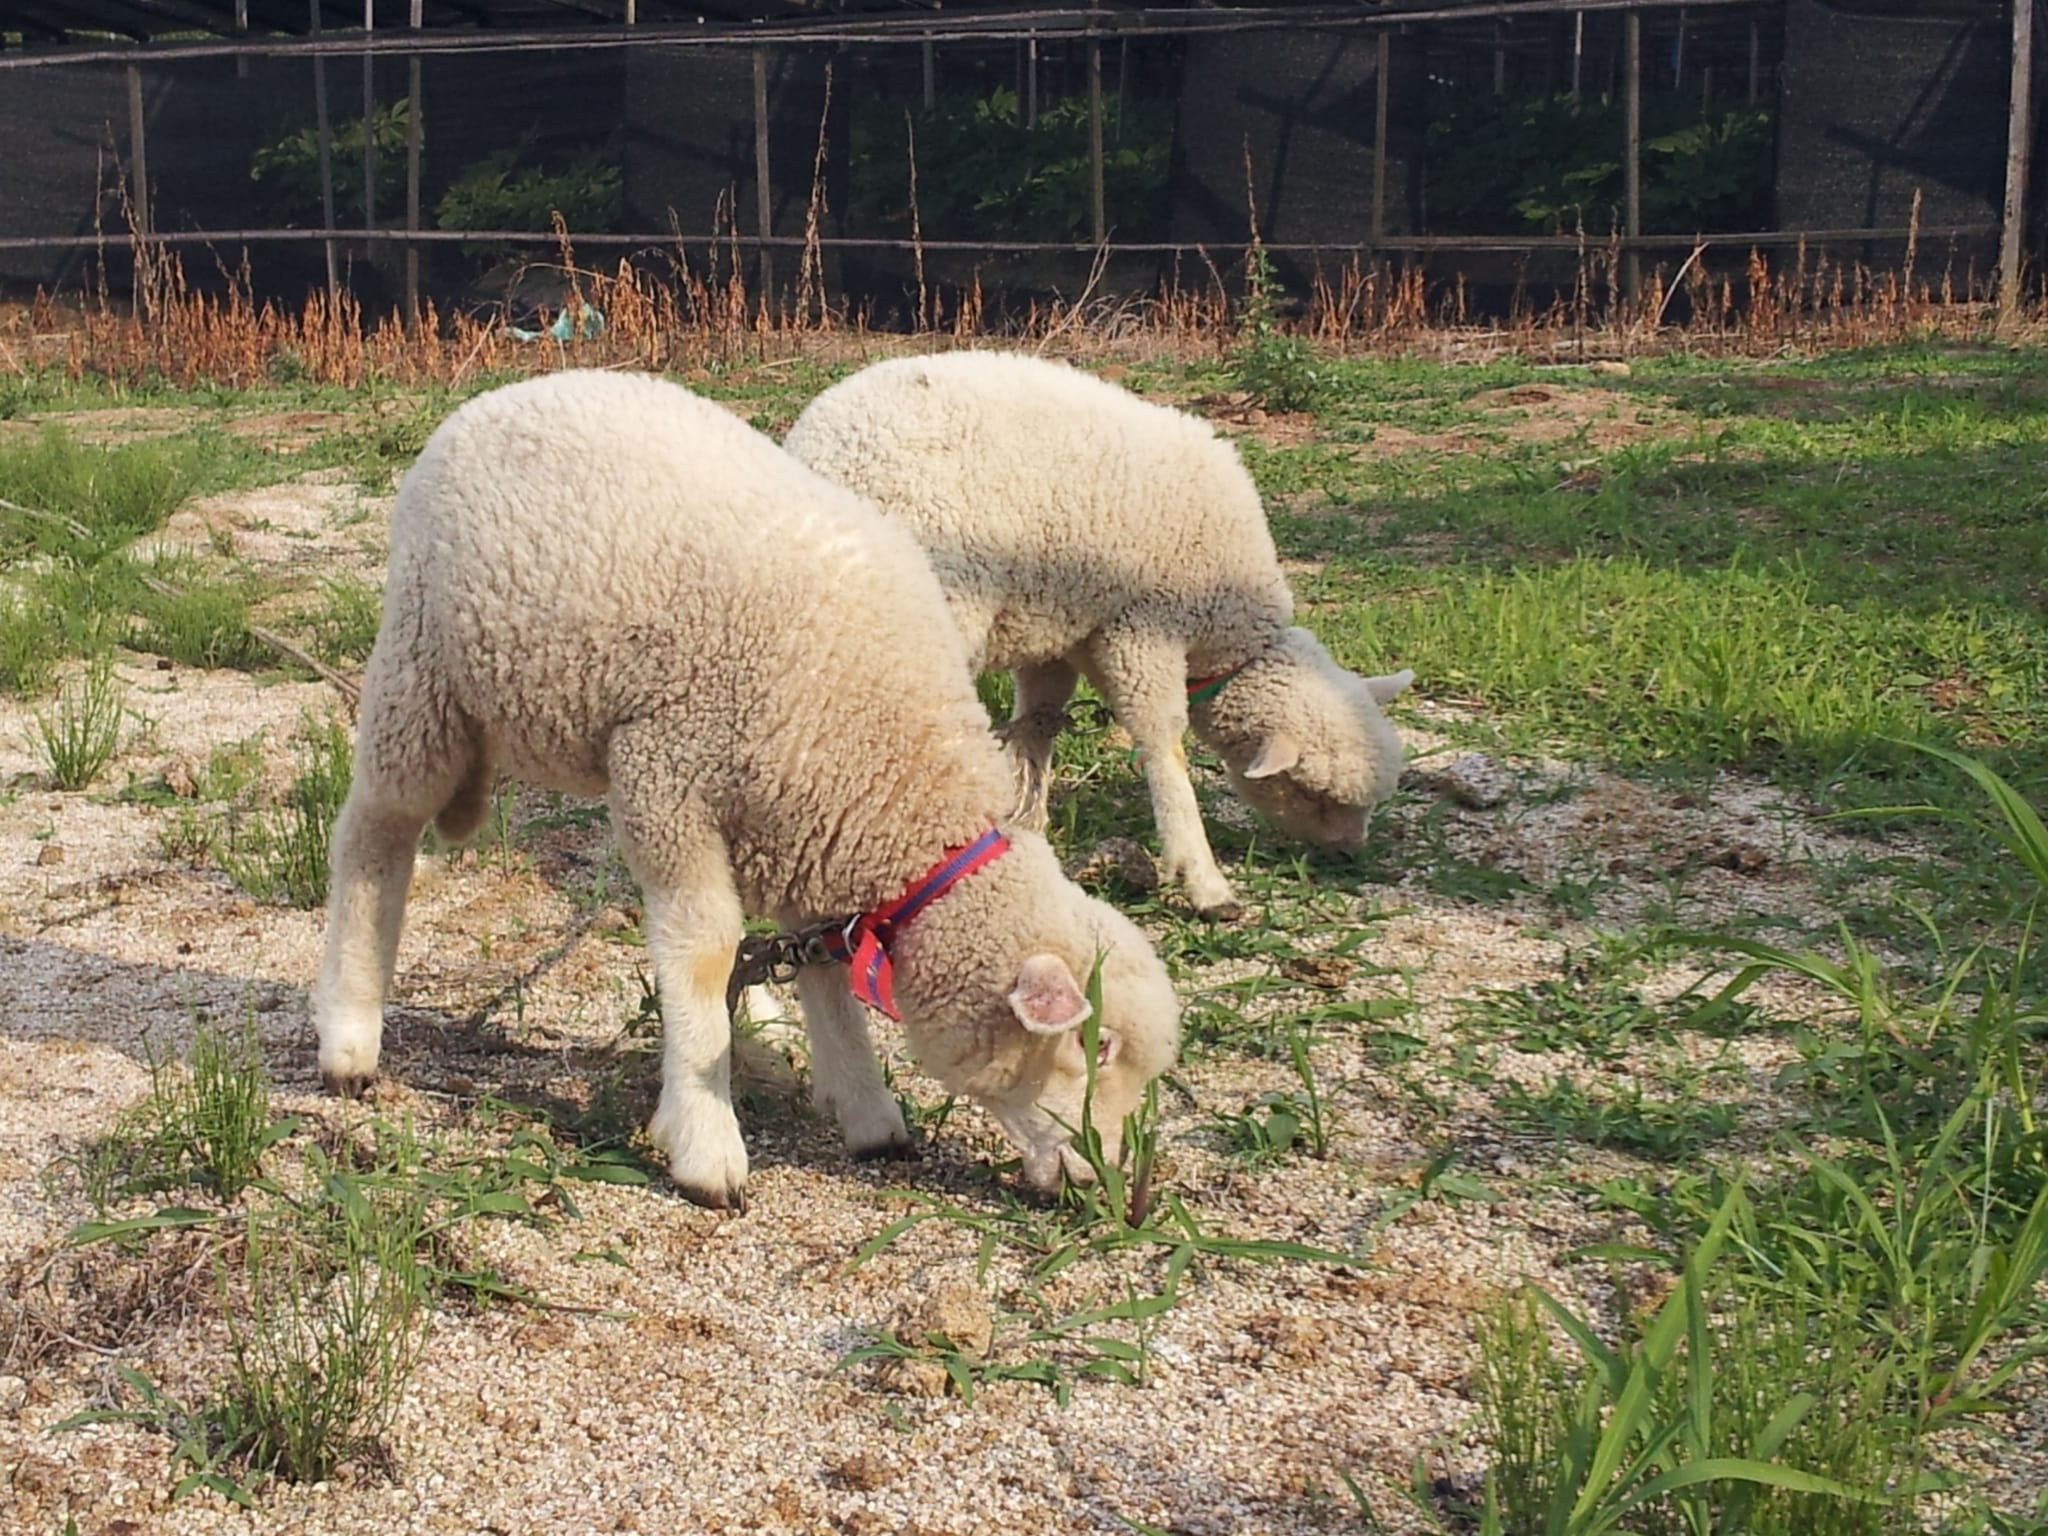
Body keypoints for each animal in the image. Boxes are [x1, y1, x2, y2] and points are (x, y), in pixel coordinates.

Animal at [311, 369, 1180, 1210]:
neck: (897, 778)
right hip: (419, 669)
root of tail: (502, 394)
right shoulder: (665, 774)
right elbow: (702, 952)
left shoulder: (812, 830)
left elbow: (824, 969)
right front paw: (706, 1143)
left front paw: (869, 1114)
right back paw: (350, 1035)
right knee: (373, 836)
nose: (1114, 1197)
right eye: (1094, 1046)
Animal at [782, 351, 1414, 918]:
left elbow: (1038, 725)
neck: (1224, 627)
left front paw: (1027, 820)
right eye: (1315, 793)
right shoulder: (1144, 627)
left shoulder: (1058, 634)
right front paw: (1203, 878)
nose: (1350, 854)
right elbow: (1163, 740)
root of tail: (815, 446)